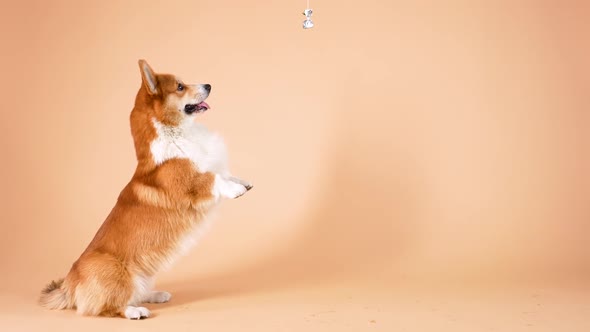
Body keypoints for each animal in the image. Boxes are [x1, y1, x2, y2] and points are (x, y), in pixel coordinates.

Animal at [39, 59, 252, 320]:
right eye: (180, 86)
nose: (209, 85)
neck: (176, 133)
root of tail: (69, 285)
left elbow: (224, 173)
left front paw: (242, 182)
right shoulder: (189, 184)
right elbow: (215, 178)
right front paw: (235, 190)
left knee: (135, 293)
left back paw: (155, 295)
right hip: (118, 273)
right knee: (108, 307)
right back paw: (135, 311)